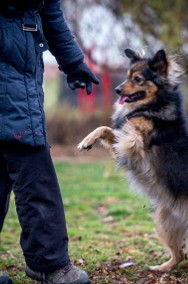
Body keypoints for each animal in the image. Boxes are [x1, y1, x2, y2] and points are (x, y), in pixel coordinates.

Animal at [76, 48, 188, 270]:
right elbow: (106, 129)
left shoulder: (134, 142)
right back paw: (160, 269)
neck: (153, 105)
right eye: (127, 76)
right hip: (164, 220)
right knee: (179, 254)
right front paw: (87, 141)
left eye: (138, 79)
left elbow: (124, 130)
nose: (118, 90)